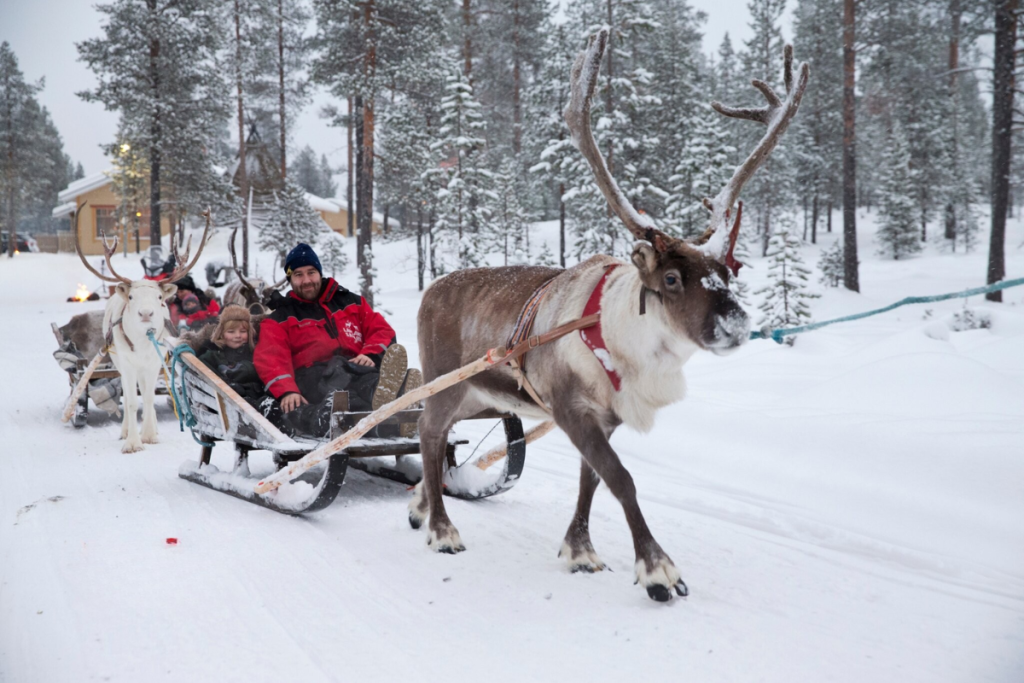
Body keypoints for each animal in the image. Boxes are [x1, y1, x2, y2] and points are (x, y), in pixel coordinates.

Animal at [74, 203, 211, 452]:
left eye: (159, 297)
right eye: (131, 296)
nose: (146, 313)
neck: (141, 342)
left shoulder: (154, 362)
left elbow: (148, 397)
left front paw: (149, 435)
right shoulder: (127, 364)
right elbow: (130, 401)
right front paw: (133, 442)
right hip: (119, 363)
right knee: (128, 395)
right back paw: (125, 431)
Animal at [409, 31, 808, 602]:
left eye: (726, 273)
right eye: (671, 279)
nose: (736, 325)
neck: (628, 345)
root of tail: (430, 290)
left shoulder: (608, 416)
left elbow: (590, 480)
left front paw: (579, 550)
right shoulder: (571, 407)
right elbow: (621, 479)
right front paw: (658, 569)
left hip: (480, 394)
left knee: (437, 438)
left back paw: (420, 506)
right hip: (445, 381)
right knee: (427, 430)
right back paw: (443, 529)